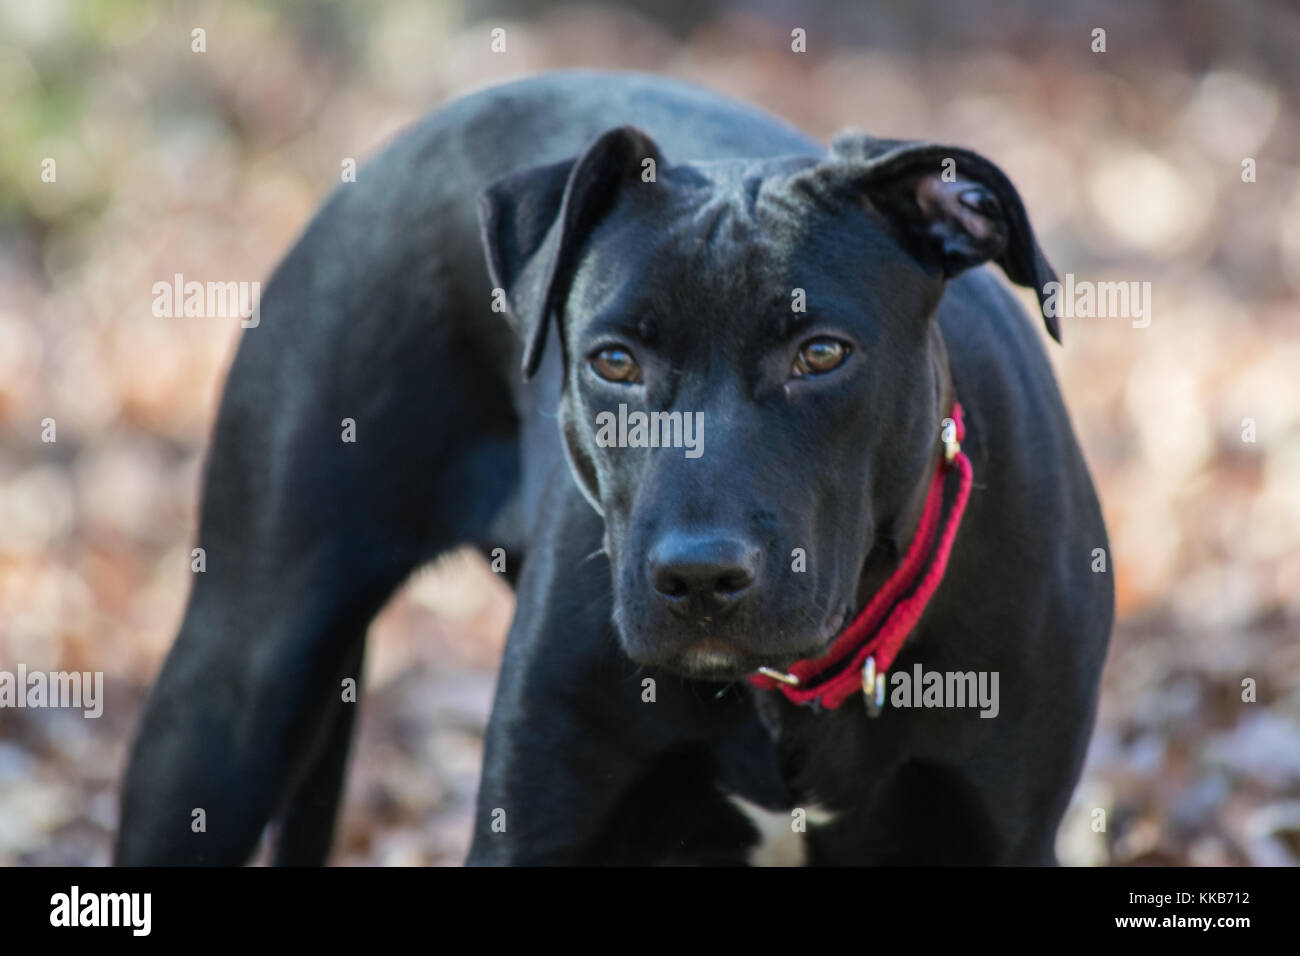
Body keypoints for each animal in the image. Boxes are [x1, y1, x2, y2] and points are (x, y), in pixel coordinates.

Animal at [116, 70, 1118, 868]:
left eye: (822, 353)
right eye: (615, 363)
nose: (700, 576)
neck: (793, 689)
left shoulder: (999, 832)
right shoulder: (538, 825)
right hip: (235, 683)